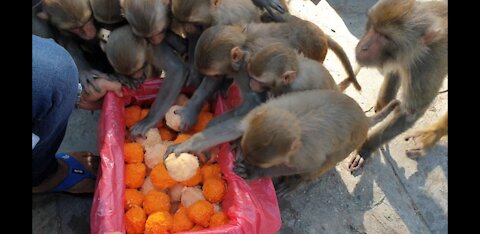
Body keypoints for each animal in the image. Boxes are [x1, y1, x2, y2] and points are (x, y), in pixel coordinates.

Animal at [346, 0, 448, 172]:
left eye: (385, 37)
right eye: (373, 28)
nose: (363, 47)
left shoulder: (428, 65)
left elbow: (409, 113)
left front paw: (365, 148)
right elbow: (396, 69)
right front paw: (383, 105)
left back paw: (435, 133)